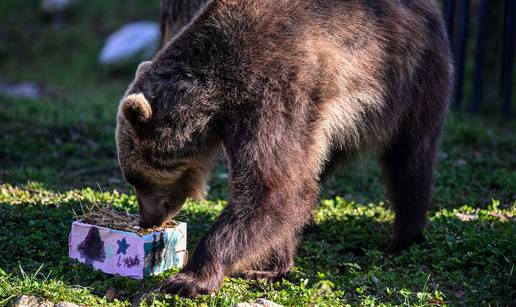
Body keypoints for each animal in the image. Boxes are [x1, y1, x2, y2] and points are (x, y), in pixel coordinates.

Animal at [116, 0, 452, 298]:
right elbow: (287, 189)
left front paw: (188, 279)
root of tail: (430, 8)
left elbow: (274, 187)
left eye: (136, 178)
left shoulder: (275, 90)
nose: (147, 220)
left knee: (410, 159)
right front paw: (268, 266)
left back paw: (404, 237)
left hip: (407, 80)